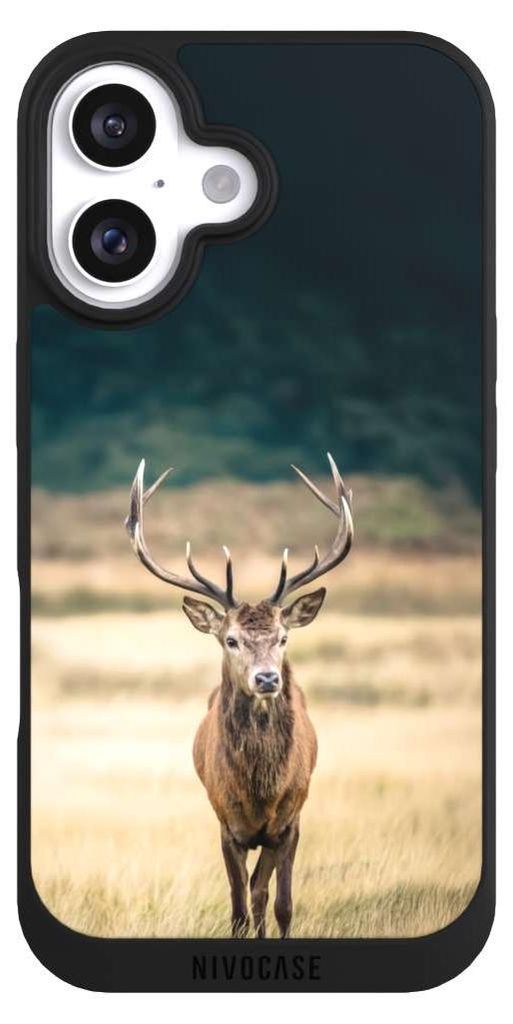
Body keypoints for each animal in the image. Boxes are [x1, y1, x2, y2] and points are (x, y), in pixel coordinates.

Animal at [125, 453, 354, 939]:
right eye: (230, 640)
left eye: (283, 637)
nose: (267, 679)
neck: (260, 792)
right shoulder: (225, 824)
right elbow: (237, 909)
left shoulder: (290, 821)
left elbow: (279, 903)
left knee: (263, 893)